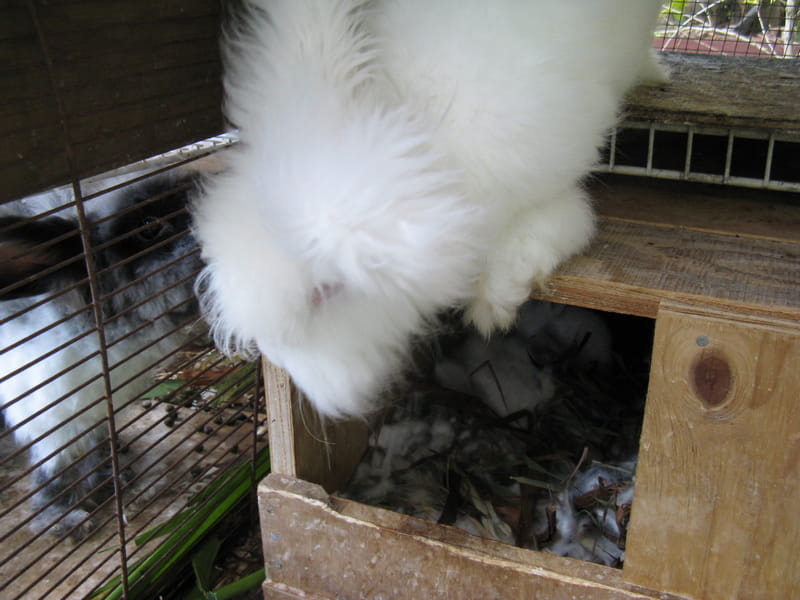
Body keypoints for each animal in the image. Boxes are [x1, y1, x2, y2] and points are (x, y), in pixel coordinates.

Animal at [0, 170, 205, 540]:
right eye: (149, 227)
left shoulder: (96, 407)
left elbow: (96, 445)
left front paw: (114, 475)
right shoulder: (47, 415)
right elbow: (55, 470)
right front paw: (64, 520)